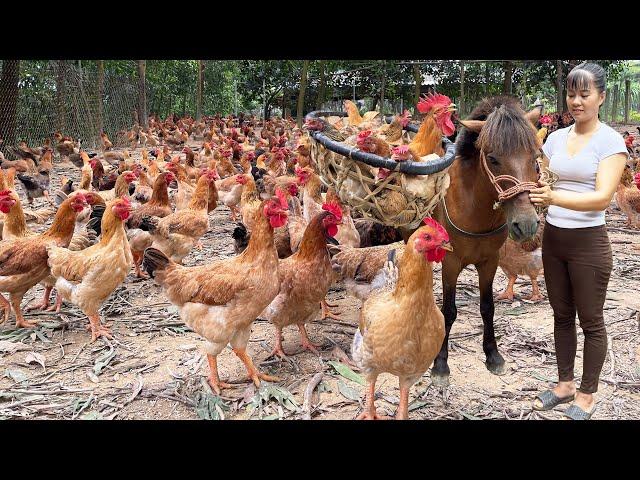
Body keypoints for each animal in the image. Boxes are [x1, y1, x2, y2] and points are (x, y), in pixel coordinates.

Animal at [428, 96, 544, 386]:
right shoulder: (451, 262)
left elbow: (488, 307)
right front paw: (440, 364)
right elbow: (449, 310)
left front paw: (493, 355)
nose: (526, 225)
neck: (473, 207)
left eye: (536, 157)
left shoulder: (489, 262)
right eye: (492, 159)